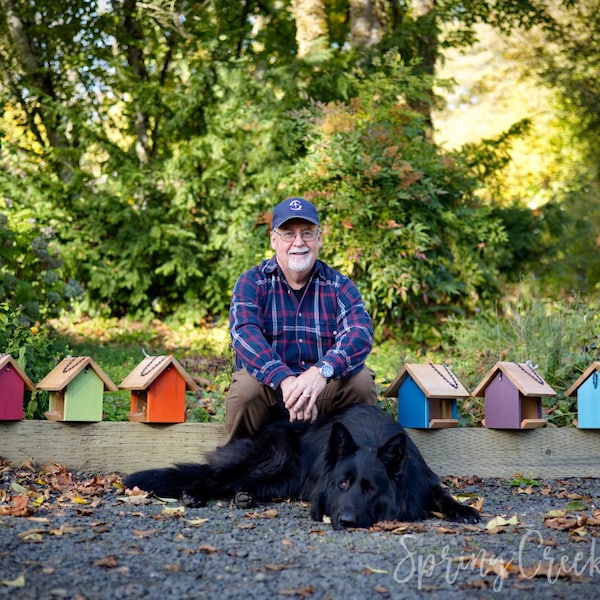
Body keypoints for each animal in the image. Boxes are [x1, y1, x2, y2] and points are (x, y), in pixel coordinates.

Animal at [124, 404, 480, 528]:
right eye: (342, 484)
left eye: (370, 488)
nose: (345, 521)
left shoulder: (422, 482)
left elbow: (442, 495)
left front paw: (463, 509)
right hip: (275, 461)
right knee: (217, 475)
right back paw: (195, 493)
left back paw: (244, 497)